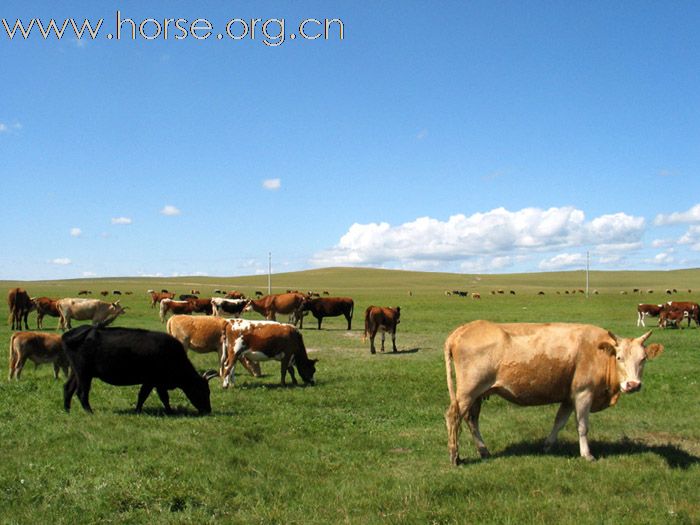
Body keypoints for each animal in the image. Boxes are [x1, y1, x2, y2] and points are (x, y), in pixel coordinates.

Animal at [61, 324, 217, 414]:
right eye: (202, 390)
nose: (208, 410)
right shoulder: (152, 381)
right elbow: (149, 396)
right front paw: (140, 410)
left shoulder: (157, 383)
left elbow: (159, 397)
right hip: (84, 373)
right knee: (82, 392)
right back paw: (89, 412)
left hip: (76, 372)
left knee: (68, 388)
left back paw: (67, 410)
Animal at [446, 320, 664, 462]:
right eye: (619, 358)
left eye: (643, 359)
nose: (633, 385)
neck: (599, 352)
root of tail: (462, 330)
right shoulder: (584, 393)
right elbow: (582, 426)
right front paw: (587, 454)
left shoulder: (569, 396)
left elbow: (559, 422)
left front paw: (548, 445)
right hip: (468, 392)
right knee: (453, 416)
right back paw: (455, 456)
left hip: (477, 395)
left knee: (471, 420)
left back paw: (484, 451)